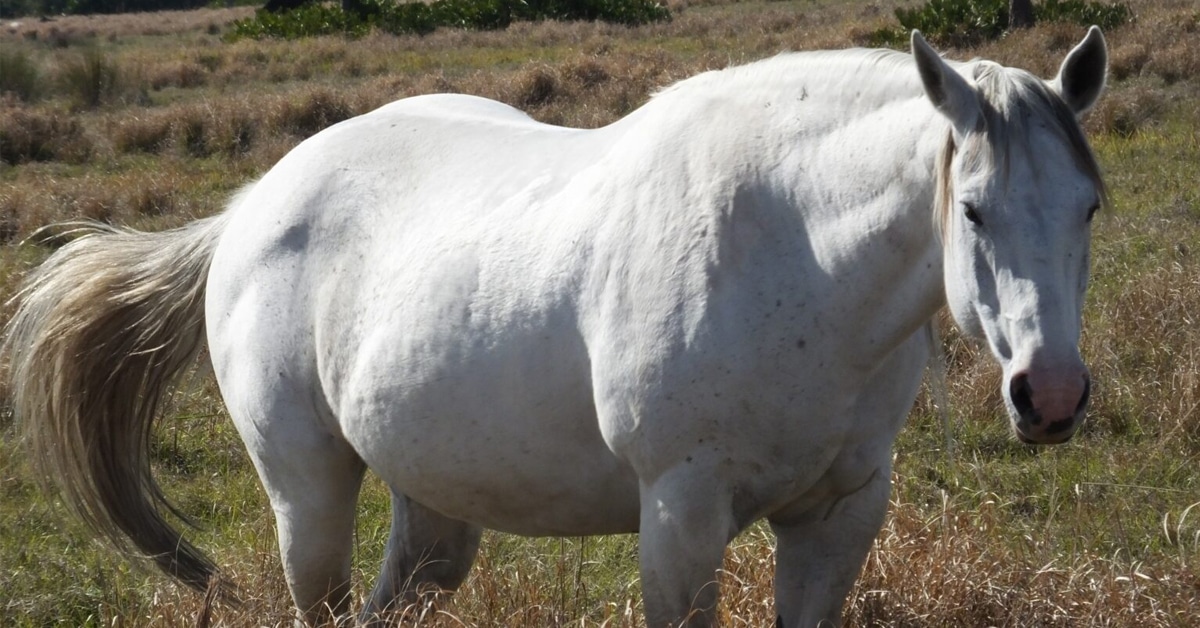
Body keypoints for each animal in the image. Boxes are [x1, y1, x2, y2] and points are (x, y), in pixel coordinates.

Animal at [3, 29, 1108, 627]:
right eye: (973, 210)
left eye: (1089, 207)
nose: (1050, 395)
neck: (794, 251)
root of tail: (246, 211)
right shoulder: (681, 516)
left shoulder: (840, 515)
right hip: (305, 492)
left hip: (433, 504)